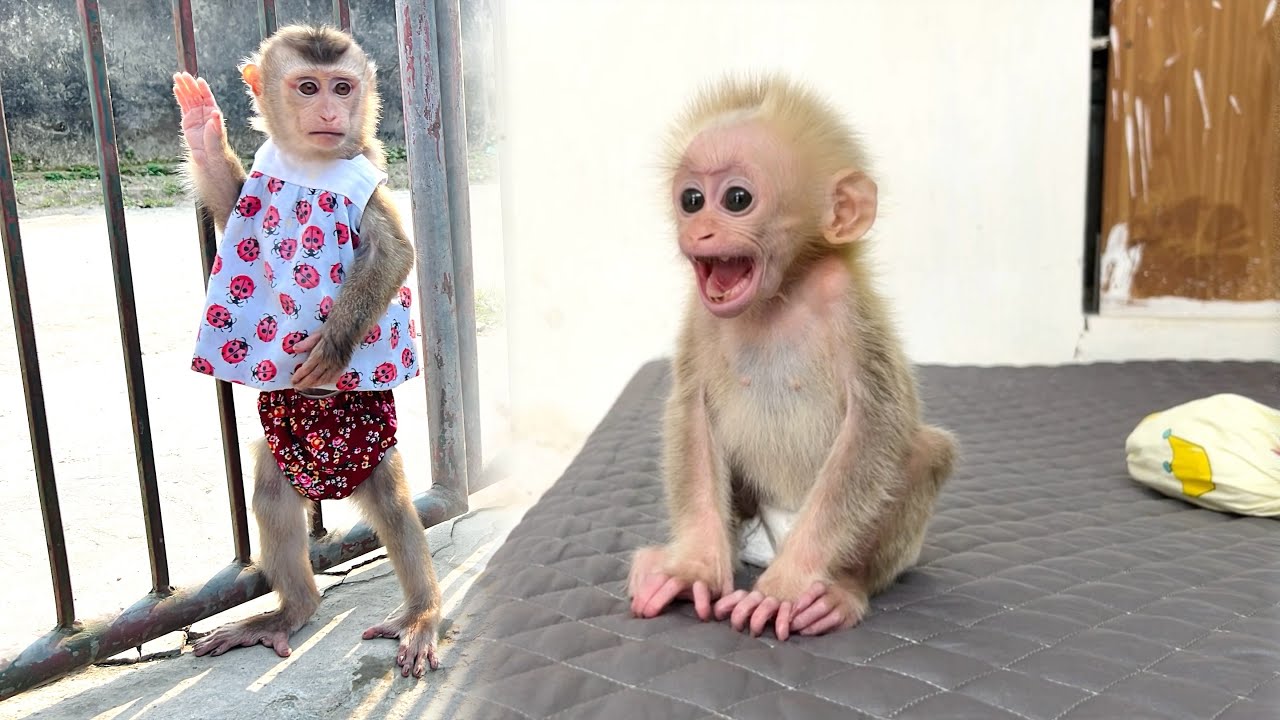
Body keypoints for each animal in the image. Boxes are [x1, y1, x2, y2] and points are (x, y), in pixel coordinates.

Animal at [173, 24, 441, 678]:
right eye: (308, 86)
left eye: (343, 87)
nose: (329, 113)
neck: (311, 167)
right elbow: (232, 202)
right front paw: (203, 130)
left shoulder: (368, 180)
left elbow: (394, 254)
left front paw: (333, 344)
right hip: (287, 448)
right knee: (272, 495)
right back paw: (291, 610)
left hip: (370, 440)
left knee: (394, 507)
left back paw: (422, 613)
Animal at [627, 73, 958, 642]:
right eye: (691, 199)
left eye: (737, 198)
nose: (698, 229)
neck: (780, 294)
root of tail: (775, 530)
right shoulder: (701, 314)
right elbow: (692, 411)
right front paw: (692, 567)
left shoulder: (845, 300)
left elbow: (875, 427)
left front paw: (788, 586)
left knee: (924, 450)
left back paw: (841, 590)